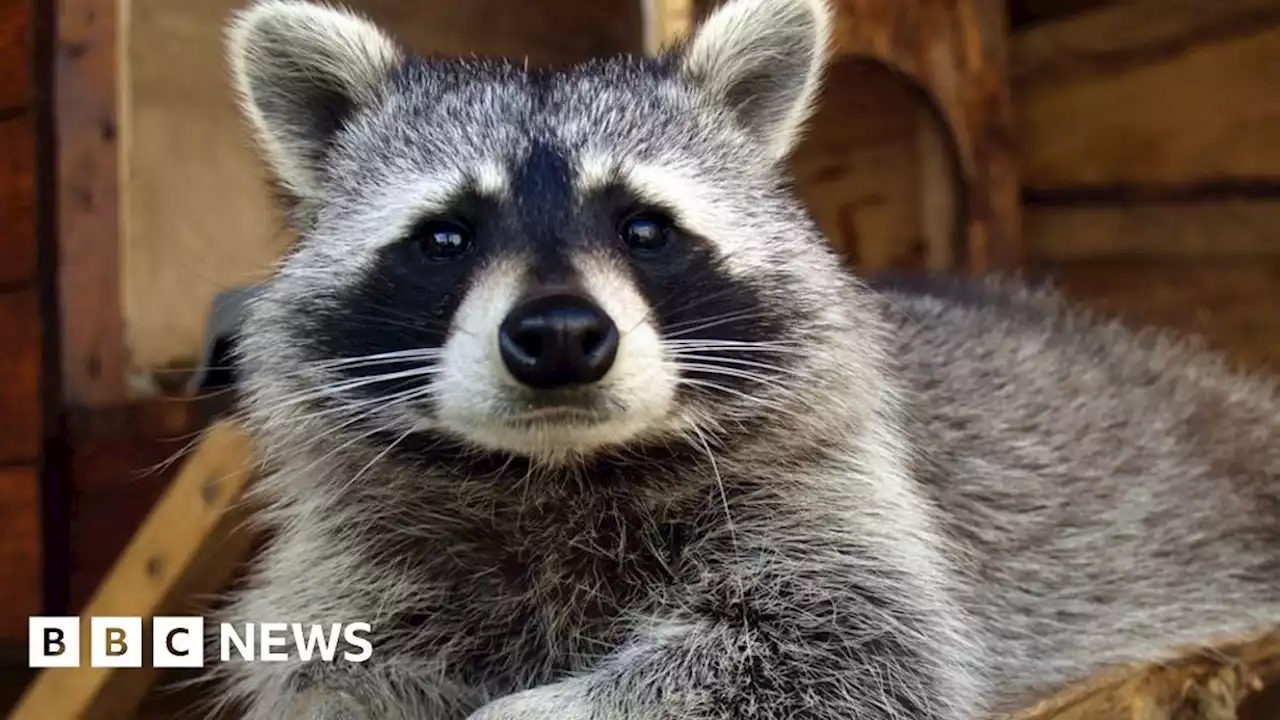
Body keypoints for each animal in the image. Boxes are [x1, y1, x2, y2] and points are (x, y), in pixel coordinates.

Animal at [215, 0, 1280, 712]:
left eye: (646, 229)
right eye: (446, 237)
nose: (559, 337)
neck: (559, 468)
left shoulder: (845, 493)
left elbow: (845, 649)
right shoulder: (358, 563)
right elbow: (330, 668)